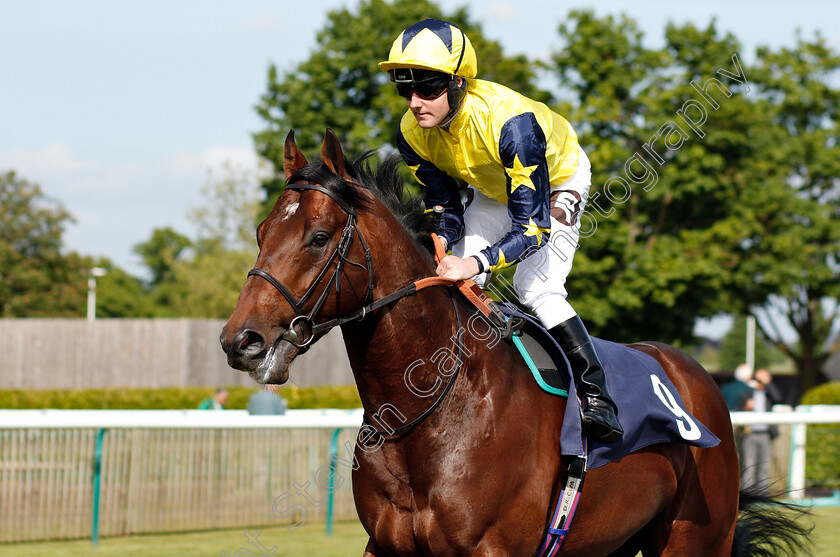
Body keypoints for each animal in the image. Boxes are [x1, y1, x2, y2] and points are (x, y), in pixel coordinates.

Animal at [220, 130, 812, 556]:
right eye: (261, 233)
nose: (241, 341)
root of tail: (696, 377)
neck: (428, 409)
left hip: (695, 538)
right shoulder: (385, 546)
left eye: (319, 237)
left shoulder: (493, 549)